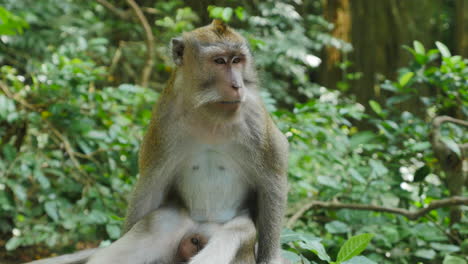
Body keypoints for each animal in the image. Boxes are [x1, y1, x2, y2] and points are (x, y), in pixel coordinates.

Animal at [86, 19, 288, 264]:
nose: (237, 85)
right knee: (156, 223)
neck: (210, 114)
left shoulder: (256, 119)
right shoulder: (164, 122)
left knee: (234, 234)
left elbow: (271, 180)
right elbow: (152, 182)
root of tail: (199, 231)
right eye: (219, 61)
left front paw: (270, 257)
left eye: (237, 60)